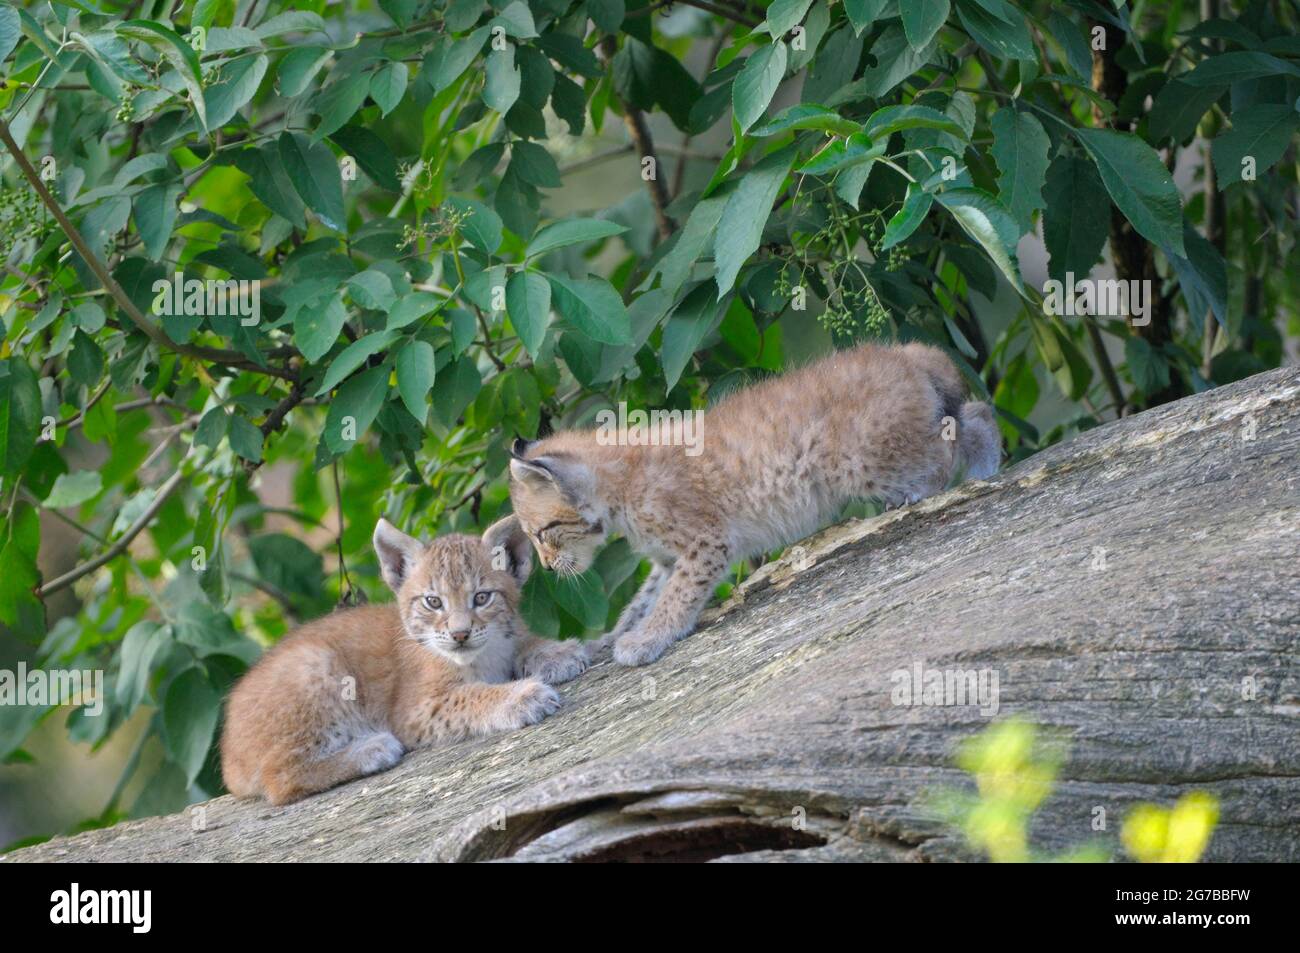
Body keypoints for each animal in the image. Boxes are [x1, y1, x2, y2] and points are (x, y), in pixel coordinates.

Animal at [222, 512, 585, 800]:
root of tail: (228, 752)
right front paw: (523, 696)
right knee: (278, 780)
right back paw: (371, 749)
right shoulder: (416, 710)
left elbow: (523, 641)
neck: (482, 656)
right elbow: (474, 696)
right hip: (316, 664)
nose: (460, 635)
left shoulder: (506, 638)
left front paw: (559, 652)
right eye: (433, 602)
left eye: (482, 598)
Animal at [504, 338, 993, 665]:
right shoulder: (667, 558)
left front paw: (648, 640)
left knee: (953, 440)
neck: (616, 493)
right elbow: (643, 599)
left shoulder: (705, 541)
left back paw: (946, 484)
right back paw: (986, 472)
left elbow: (676, 597)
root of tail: (903, 351)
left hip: (858, 462)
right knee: (976, 412)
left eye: (543, 533)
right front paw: (612, 637)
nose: (548, 568)